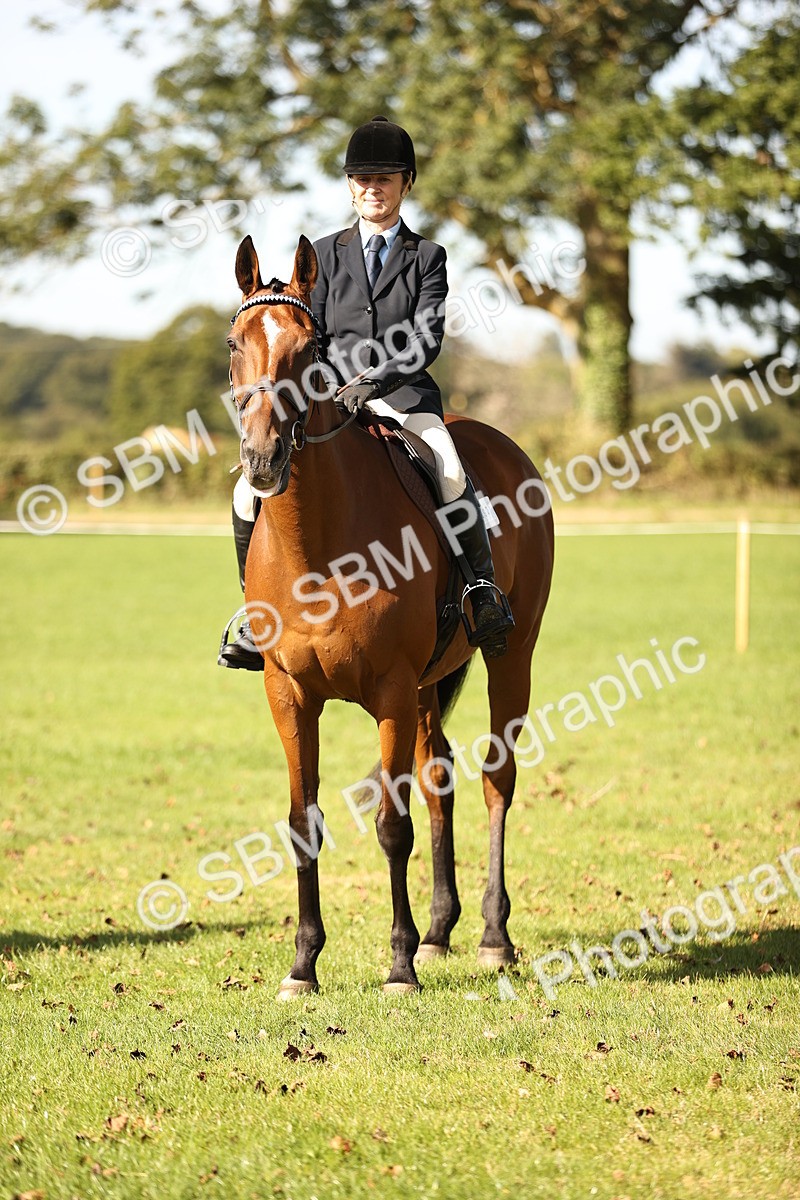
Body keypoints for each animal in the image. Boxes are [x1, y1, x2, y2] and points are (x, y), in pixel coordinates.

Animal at [228, 233, 554, 997]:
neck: (316, 540)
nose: (262, 459)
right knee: (441, 779)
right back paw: (440, 932)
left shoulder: (391, 692)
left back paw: (492, 936)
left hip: (508, 656)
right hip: (433, 683)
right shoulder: (288, 692)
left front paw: (399, 963)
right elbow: (303, 823)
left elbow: (391, 825)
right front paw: (304, 965)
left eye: (311, 348)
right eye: (234, 344)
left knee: (496, 778)